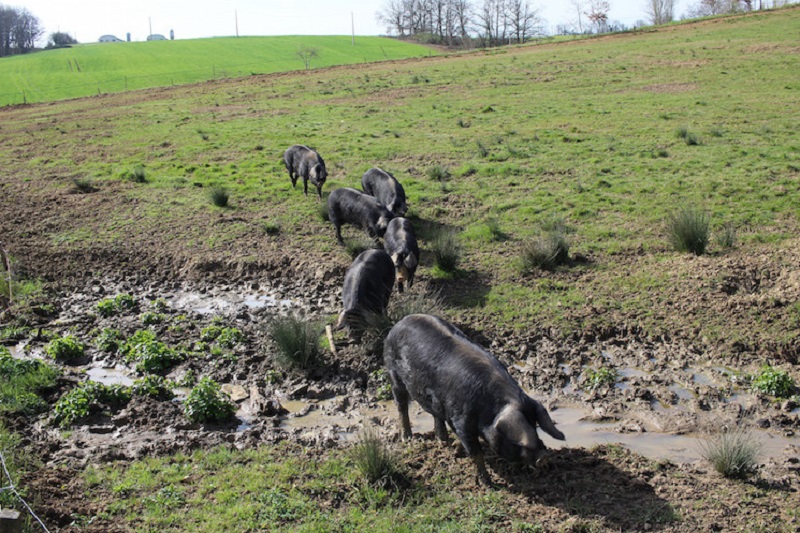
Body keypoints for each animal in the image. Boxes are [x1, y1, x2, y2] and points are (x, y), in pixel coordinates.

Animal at [383, 314, 565, 484]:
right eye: (519, 442)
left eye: (535, 426)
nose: (544, 457)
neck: (489, 410)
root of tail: (400, 323)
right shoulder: (461, 422)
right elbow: (476, 453)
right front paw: (489, 483)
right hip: (394, 375)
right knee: (402, 406)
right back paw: (407, 438)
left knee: (436, 415)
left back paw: (444, 442)